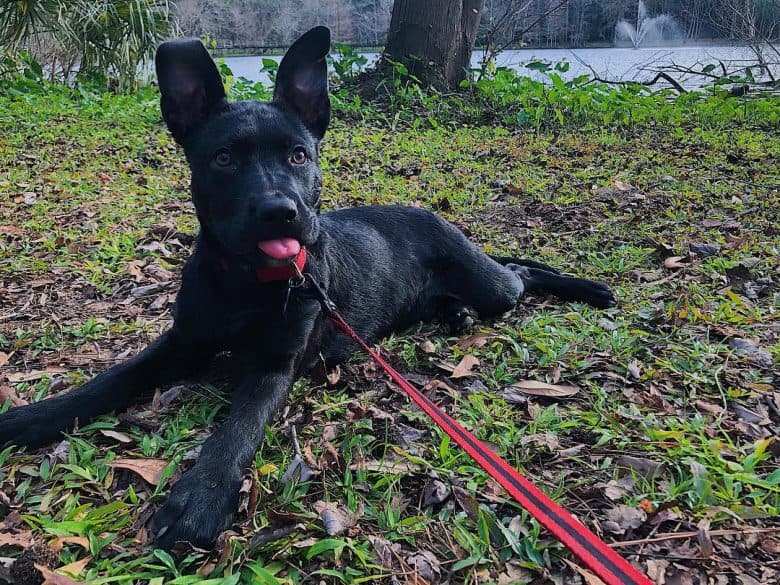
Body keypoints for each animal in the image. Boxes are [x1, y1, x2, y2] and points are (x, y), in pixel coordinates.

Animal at [0, 26, 612, 548]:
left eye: (299, 155)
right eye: (223, 158)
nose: (280, 212)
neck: (246, 284)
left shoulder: (275, 365)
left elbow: (236, 430)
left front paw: (199, 497)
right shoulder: (180, 344)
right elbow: (109, 382)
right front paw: (30, 419)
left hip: (491, 284)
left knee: (521, 274)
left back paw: (584, 289)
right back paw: (456, 314)